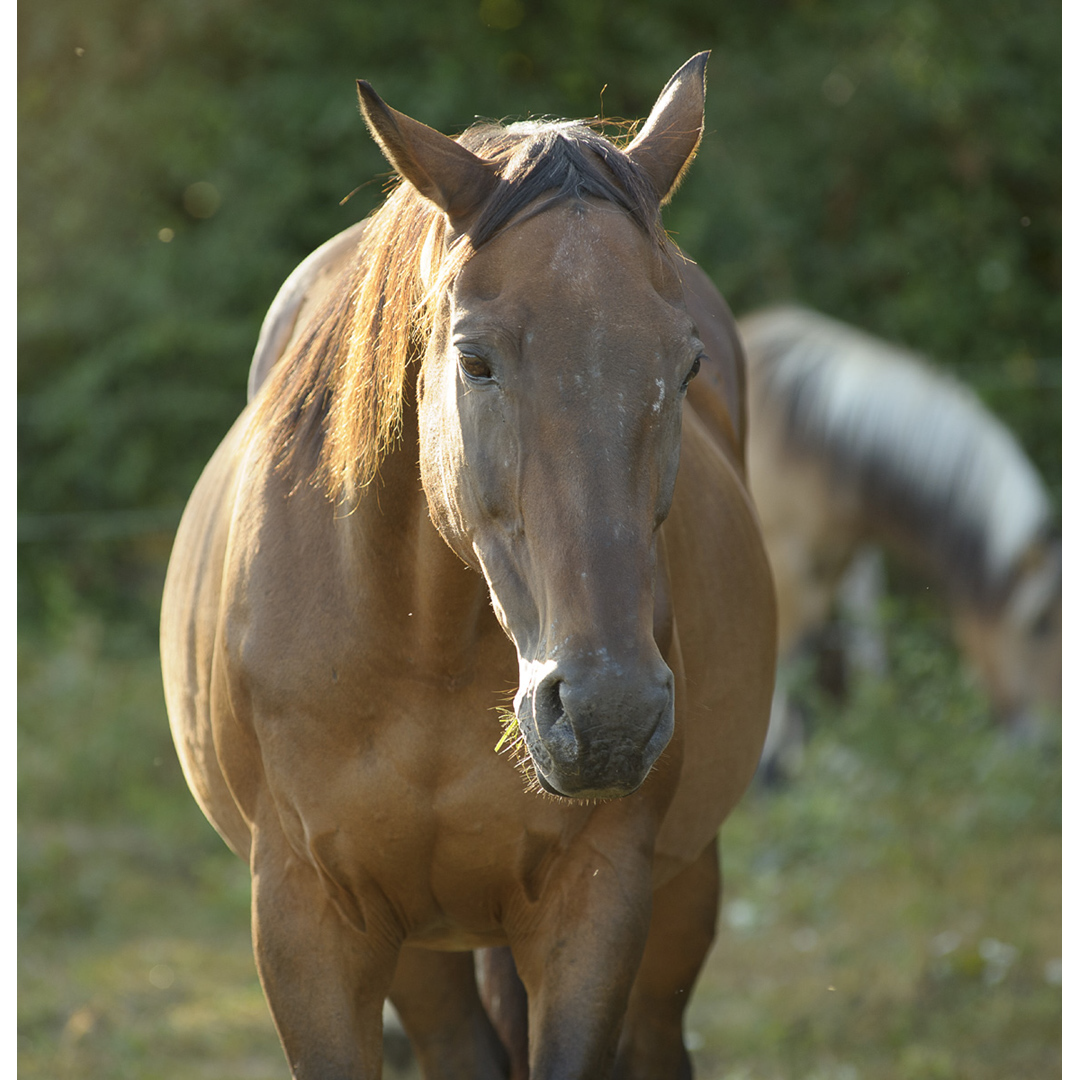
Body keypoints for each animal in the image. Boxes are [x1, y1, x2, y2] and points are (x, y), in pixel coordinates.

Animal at [738, 304, 1058, 777]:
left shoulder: (833, 565)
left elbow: (827, 648)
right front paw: (769, 772)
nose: (1049, 747)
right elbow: (786, 655)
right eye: (1039, 626)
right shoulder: (783, 563)